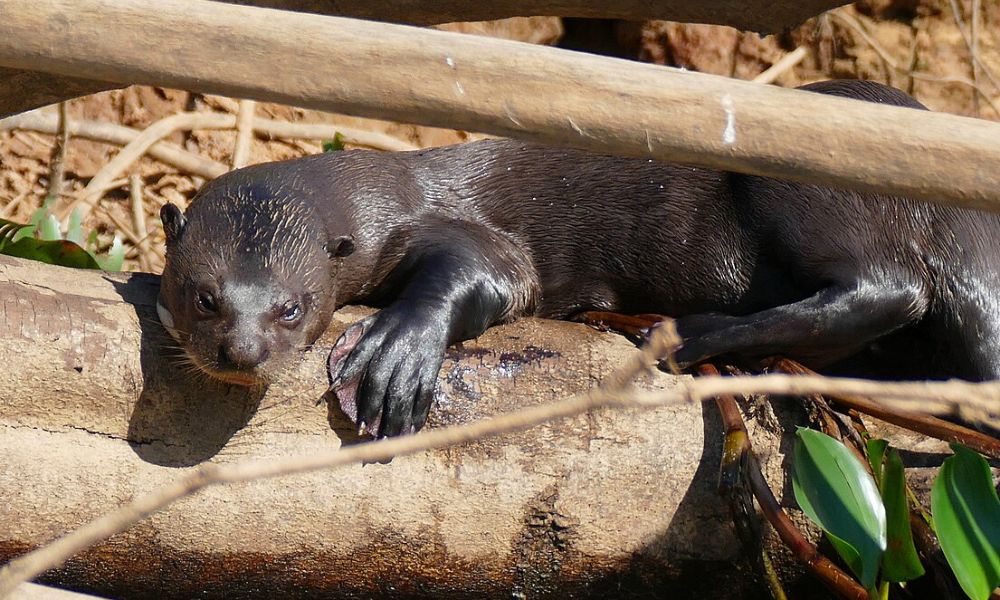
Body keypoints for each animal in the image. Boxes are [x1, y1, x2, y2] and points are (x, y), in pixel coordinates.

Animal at [158, 79, 1000, 436]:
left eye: (291, 307)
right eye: (205, 296)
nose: (242, 352)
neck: (377, 196)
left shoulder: (455, 228)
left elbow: (498, 269)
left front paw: (394, 352)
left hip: (805, 180)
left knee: (891, 286)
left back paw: (696, 334)